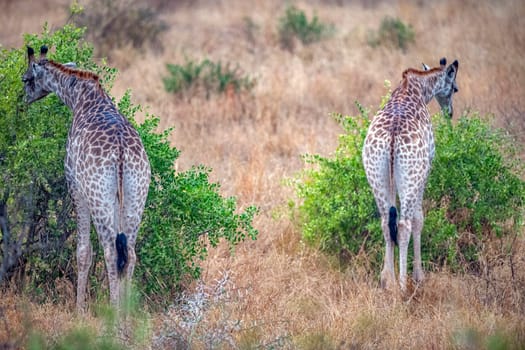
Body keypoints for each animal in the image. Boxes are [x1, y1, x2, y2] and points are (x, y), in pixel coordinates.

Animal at [22, 46, 149, 312]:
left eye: (26, 79)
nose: (23, 99)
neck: (79, 97)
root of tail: (121, 152)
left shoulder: (74, 185)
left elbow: (83, 251)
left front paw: (79, 310)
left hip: (99, 196)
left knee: (111, 251)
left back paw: (114, 315)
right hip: (137, 194)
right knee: (130, 253)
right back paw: (127, 316)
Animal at [360, 58, 458, 292]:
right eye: (454, 88)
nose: (450, 112)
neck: (417, 88)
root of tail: (392, 137)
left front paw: (388, 276)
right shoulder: (426, 170)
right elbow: (419, 218)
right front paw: (419, 275)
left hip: (375, 175)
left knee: (386, 222)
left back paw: (388, 281)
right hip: (412, 177)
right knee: (404, 225)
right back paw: (404, 285)